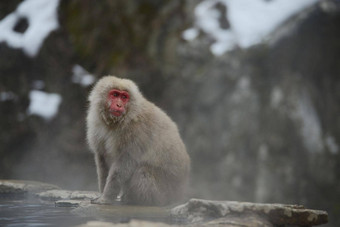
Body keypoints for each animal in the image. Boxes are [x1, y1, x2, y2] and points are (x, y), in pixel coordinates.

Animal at [86, 76, 190, 206]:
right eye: (114, 94)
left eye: (124, 97)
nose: (119, 105)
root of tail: (180, 194)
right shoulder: (97, 127)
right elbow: (102, 160)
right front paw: (102, 194)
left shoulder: (136, 131)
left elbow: (124, 163)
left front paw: (106, 197)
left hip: (165, 191)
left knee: (143, 172)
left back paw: (137, 200)